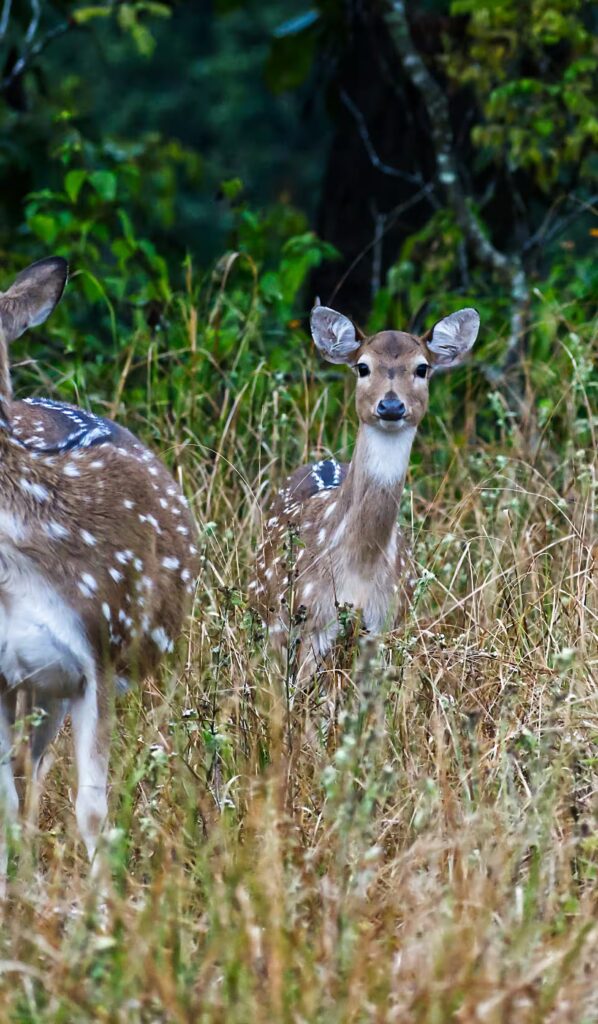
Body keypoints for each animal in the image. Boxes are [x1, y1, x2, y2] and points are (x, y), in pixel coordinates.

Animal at [250, 302, 480, 683]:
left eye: (422, 367)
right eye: (363, 366)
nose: (391, 406)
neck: (360, 566)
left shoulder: (386, 620)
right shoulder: (313, 616)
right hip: (270, 611)